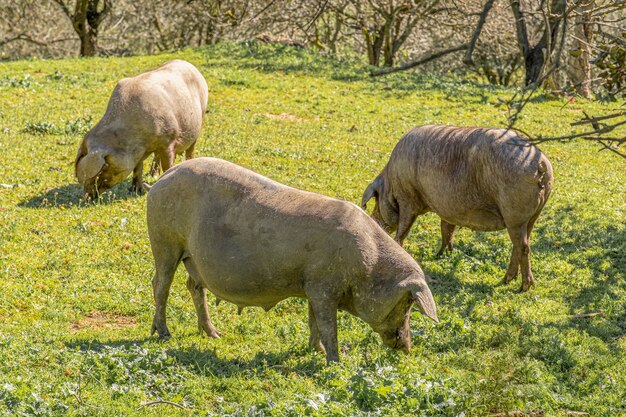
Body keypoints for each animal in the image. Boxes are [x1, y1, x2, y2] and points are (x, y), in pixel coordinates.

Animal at [73, 59, 207, 197]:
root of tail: (188, 64)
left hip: (200, 117)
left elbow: (167, 165)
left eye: (100, 172)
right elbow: (137, 168)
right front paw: (135, 190)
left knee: (190, 148)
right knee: (156, 157)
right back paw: (152, 175)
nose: (86, 198)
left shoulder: (169, 139)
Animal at [148, 156, 436, 360]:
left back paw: (214, 335)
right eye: (408, 305)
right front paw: (335, 361)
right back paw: (164, 334)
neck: (369, 265)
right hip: (165, 241)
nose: (408, 348)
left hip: (192, 258)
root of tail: (163, 177)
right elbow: (328, 326)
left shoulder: (313, 286)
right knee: (160, 285)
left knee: (194, 287)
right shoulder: (324, 288)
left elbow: (314, 321)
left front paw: (316, 351)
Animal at [360, 125, 552, 290]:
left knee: (523, 247)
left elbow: (403, 230)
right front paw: (442, 254)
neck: (391, 181)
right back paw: (507, 281)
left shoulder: (408, 200)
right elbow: (446, 229)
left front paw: (401, 248)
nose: (373, 221)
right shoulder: (447, 208)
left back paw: (522, 287)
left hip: (515, 216)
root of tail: (540, 165)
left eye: (376, 200)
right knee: (521, 244)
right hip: (532, 216)